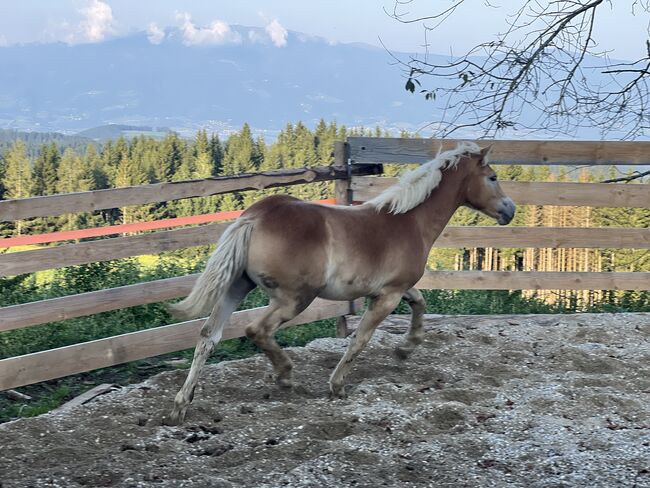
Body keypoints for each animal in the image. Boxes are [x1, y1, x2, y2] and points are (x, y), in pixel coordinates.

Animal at [165, 141, 512, 424]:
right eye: (493, 177)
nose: (509, 209)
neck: (408, 221)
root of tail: (254, 218)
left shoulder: (393, 289)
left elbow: (419, 302)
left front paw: (405, 349)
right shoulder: (388, 295)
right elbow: (360, 338)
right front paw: (337, 386)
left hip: (238, 286)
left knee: (208, 336)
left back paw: (181, 404)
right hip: (294, 298)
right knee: (256, 330)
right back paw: (285, 376)